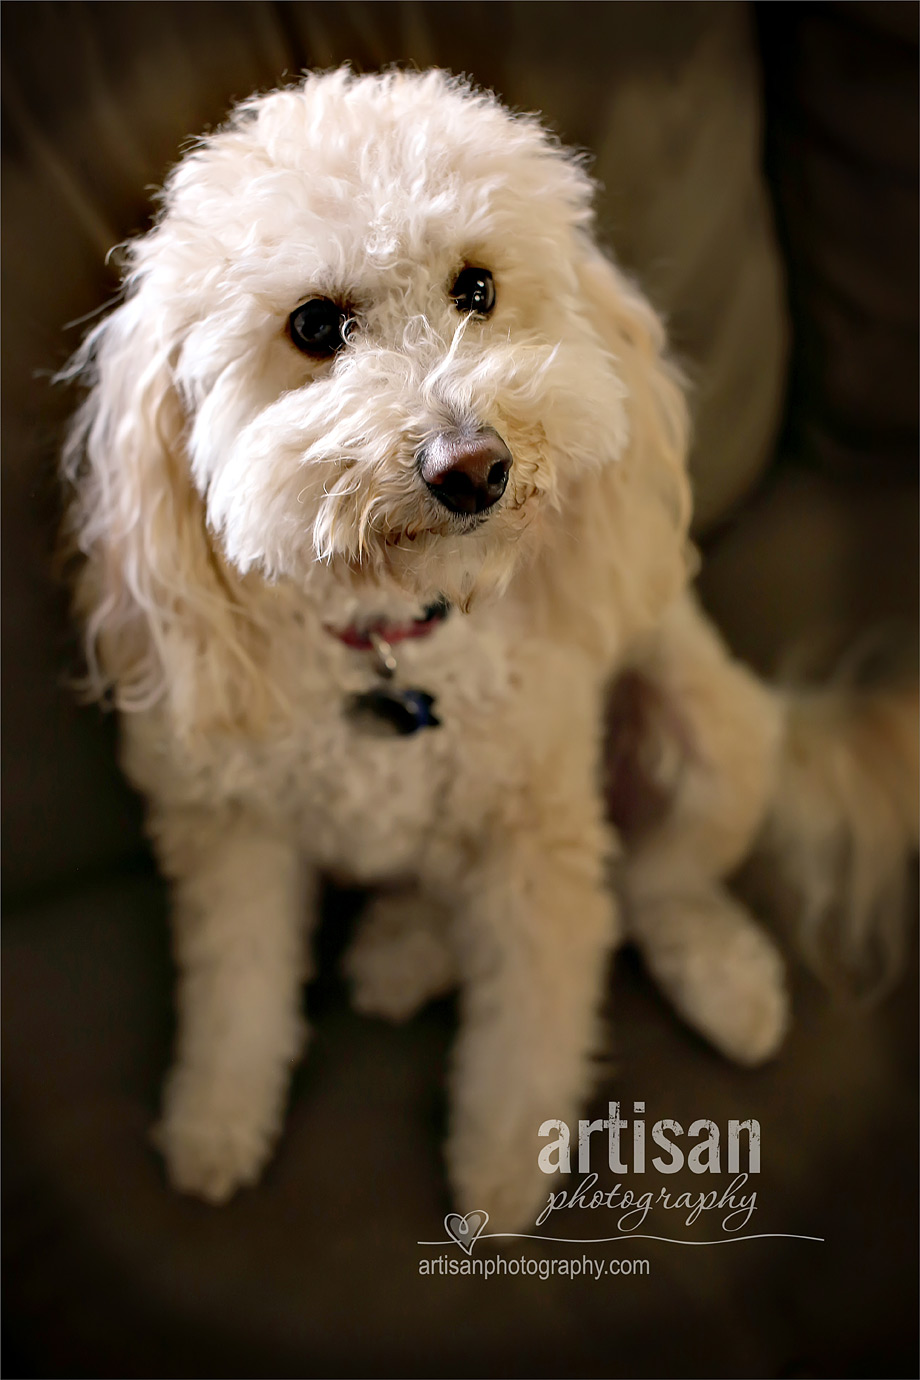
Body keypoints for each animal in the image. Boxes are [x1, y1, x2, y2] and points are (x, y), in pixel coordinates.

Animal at [61, 70, 915, 1230]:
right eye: (314, 325)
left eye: (476, 289)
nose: (471, 466)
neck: (392, 643)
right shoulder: (231, 830)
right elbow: (236, 993)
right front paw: (214, 1122)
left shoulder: (537, 846)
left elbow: (532, 1028)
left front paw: (504, 1176)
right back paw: (404, 948)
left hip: (710, 729)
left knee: (658, 882)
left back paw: (723, 978)